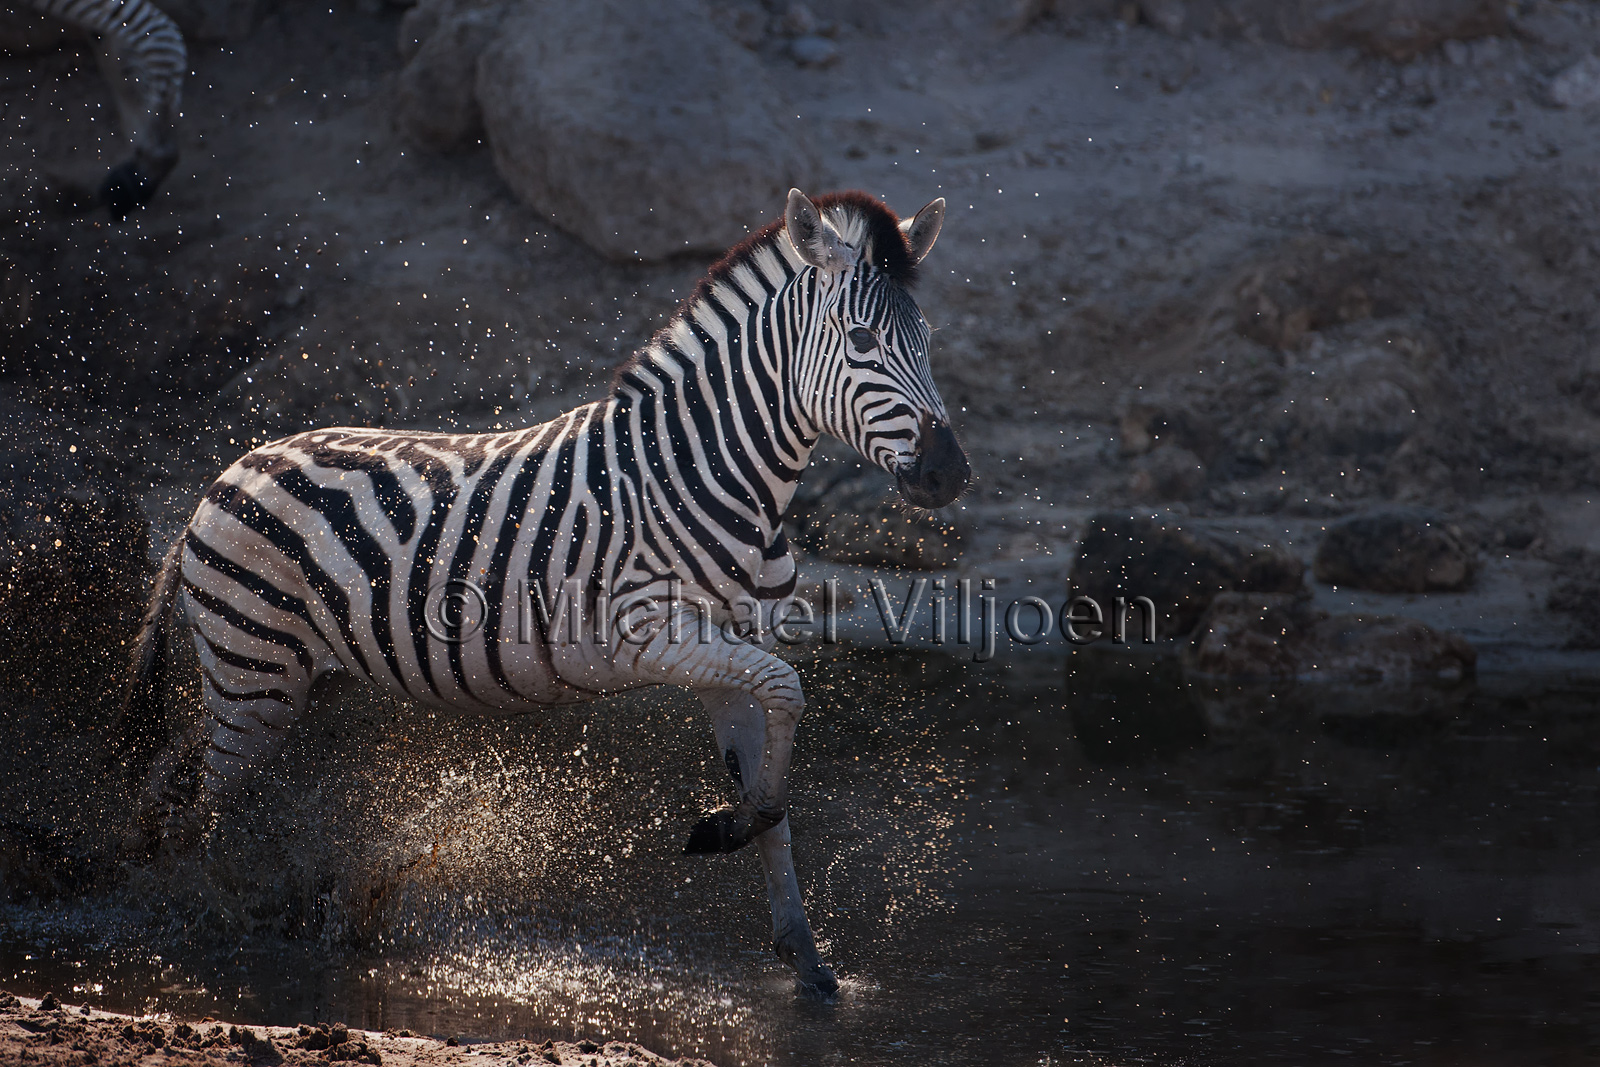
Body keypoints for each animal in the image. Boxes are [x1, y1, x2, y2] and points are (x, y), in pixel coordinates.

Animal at [121, 188, 970, 994]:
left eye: (929, 342)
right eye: (862, 342)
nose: (950, 474)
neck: (708, 470)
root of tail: (221, 478)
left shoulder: (728, 657)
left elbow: (776, 797)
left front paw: (806, 958)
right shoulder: (653, 636)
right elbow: (790, 694)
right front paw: (725, 831)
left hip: (288, 682)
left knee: (176, 775)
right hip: (256, 672)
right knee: (208, 806)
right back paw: (214, 915)